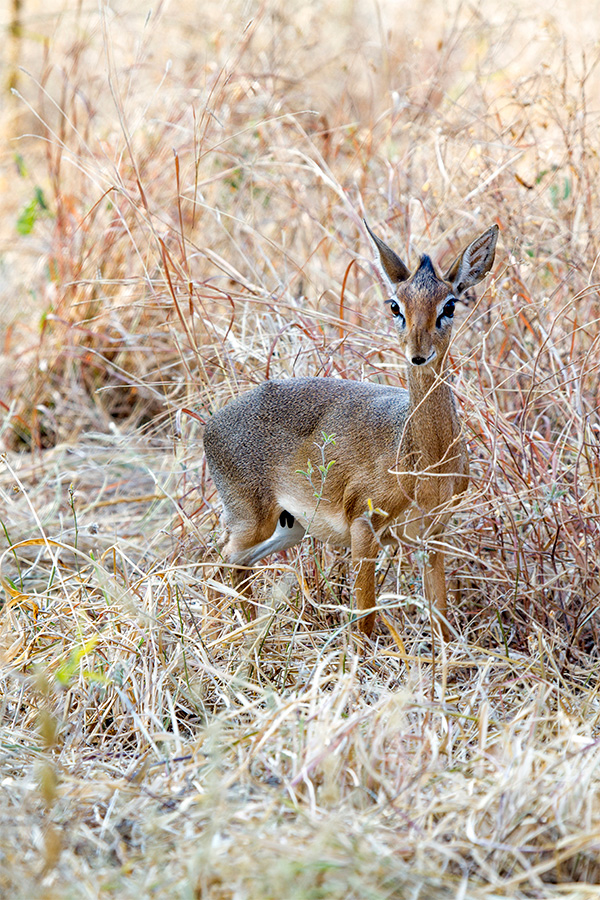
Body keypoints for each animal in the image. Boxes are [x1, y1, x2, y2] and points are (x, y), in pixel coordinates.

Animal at [204, 221, 500, 636]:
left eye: (450, 305)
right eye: (395, 306)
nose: (418, 355)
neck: (425, 462)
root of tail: (211, 424)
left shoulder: (433, 536)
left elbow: (440, 618)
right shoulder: (364, 529)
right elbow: (365, 620)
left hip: (289, 527)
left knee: (236, 565)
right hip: (250, 520)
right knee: (218, 562)